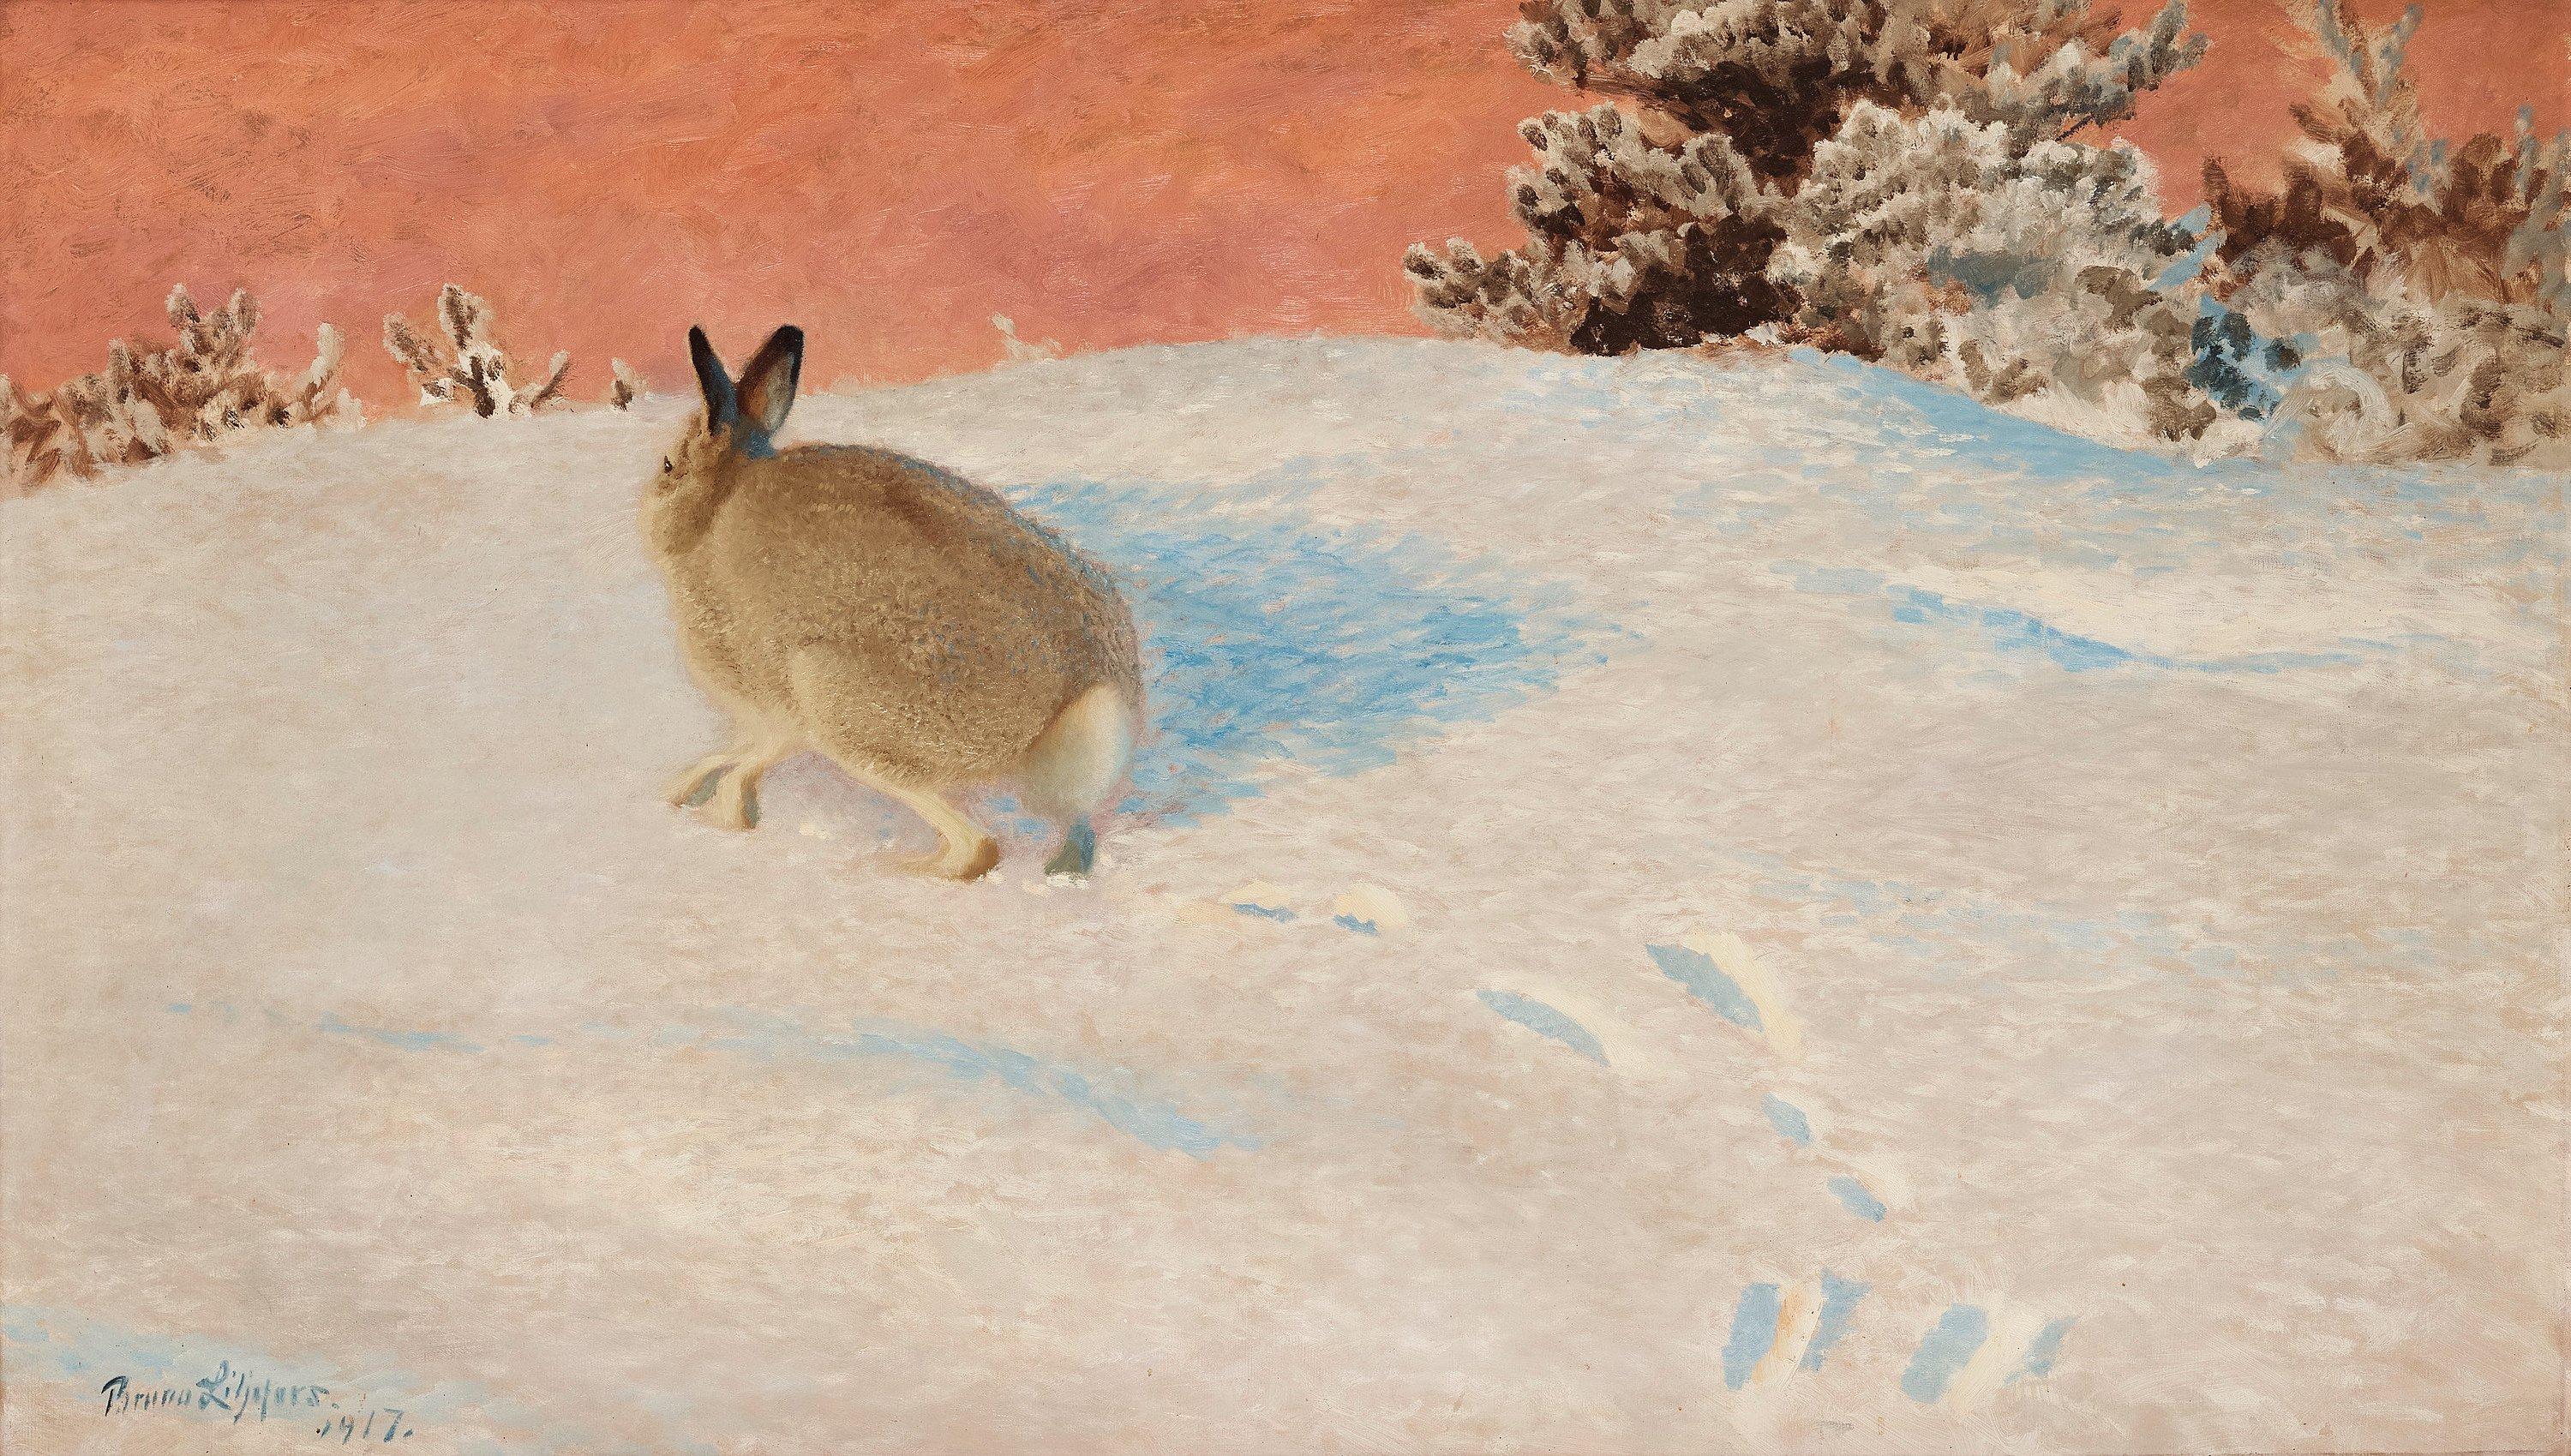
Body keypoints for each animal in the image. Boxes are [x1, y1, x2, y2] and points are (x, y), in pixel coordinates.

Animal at [641, 324, 1142, 880]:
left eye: (668, 464)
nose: (645, 505)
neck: (711, 511)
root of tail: (1079, 698)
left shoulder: (773, 695)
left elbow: (753, 754)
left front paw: (717, 818)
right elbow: (735, 752)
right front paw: (682, 791)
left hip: (838, 697)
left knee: (977, 848)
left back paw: (894, 867)